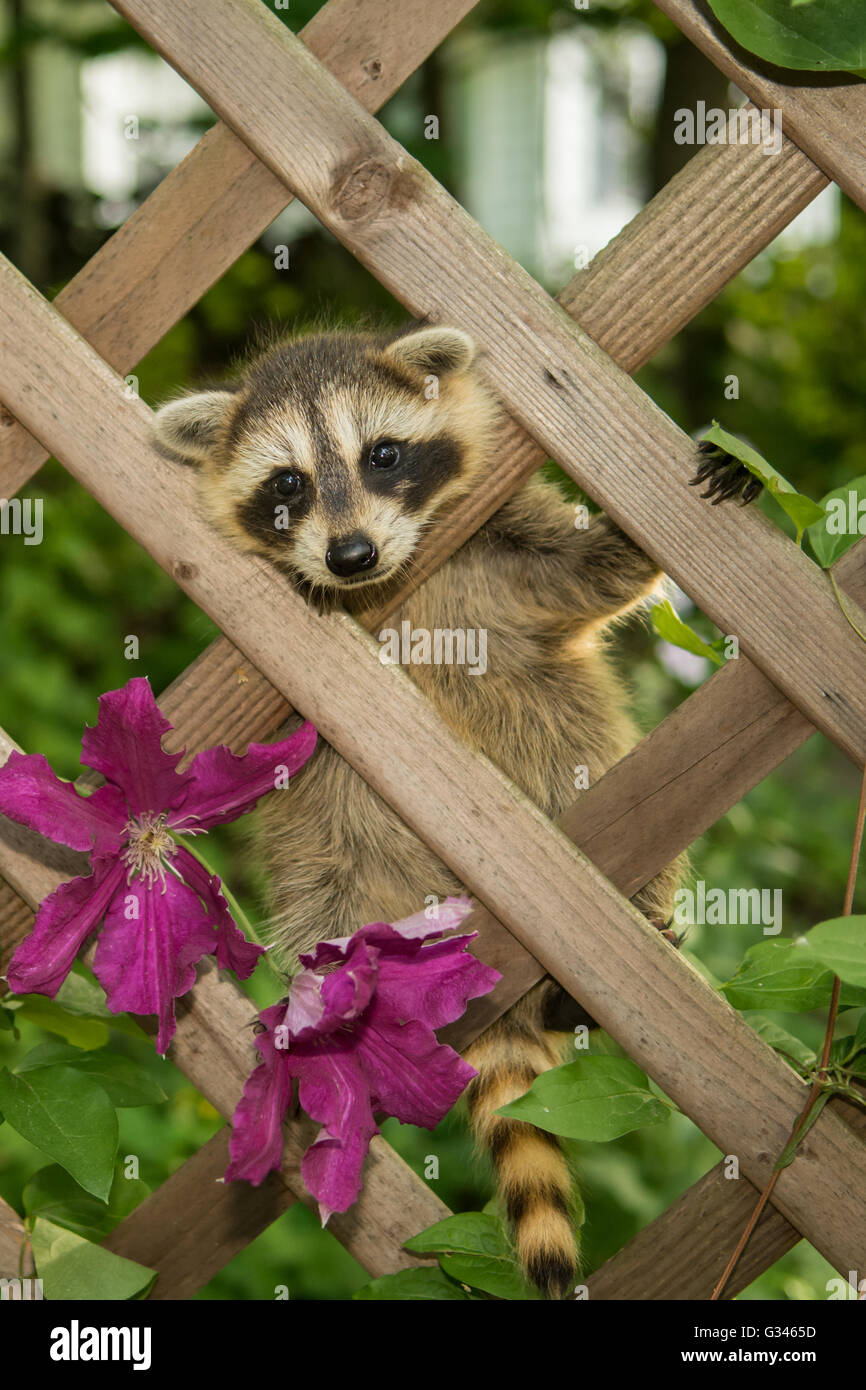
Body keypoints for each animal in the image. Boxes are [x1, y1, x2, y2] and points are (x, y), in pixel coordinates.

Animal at [154, 325, 750, 1301]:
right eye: (287, 484)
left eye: (383, 455)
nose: (350, 556)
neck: (390, 585)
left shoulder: (504, 553)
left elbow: (594, 573)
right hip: (335, 871)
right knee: (321, 901)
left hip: (590, 795)